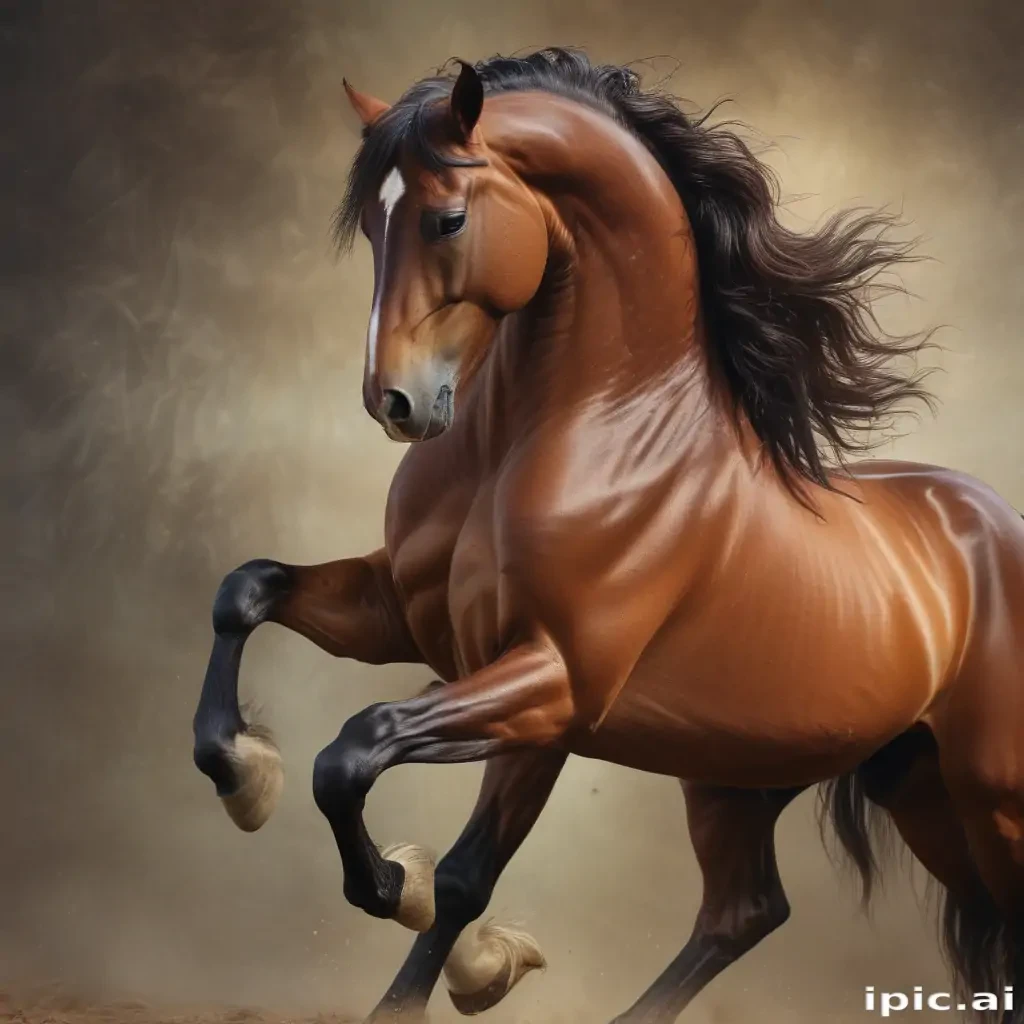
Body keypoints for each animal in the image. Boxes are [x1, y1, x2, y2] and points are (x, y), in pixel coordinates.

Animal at [191, 47, 1024, 1024]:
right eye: (369, 224)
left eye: (447, 218)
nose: (394, 402)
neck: (574, 433)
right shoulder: (405, 616)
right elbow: (247, 591)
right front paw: (244, 775)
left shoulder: (554, 686)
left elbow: (376, 771)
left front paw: (411, 899)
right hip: (825, 782)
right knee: (746, 910)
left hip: (989, 798)